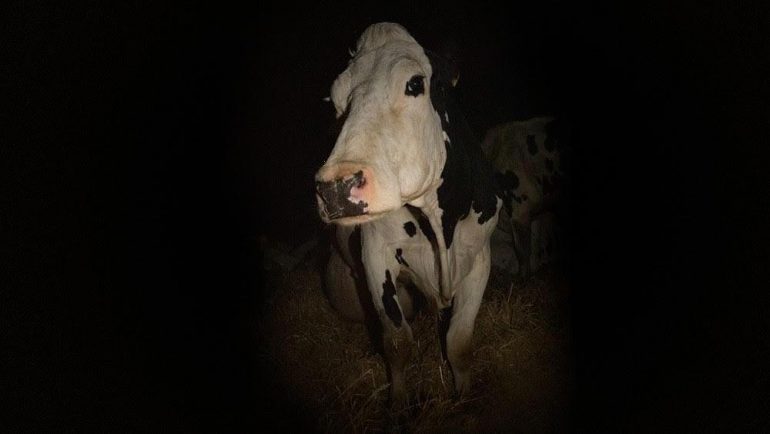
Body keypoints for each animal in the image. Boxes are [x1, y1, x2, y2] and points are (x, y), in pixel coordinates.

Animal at [314, 23, 501, 408]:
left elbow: (459, 342)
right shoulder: (376, 255)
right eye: (336, 100)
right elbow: (398, 342)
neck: (440, 226)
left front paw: (464, 398)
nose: (336, 187)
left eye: (415, 84)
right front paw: (399, 406)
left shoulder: (480, 257)